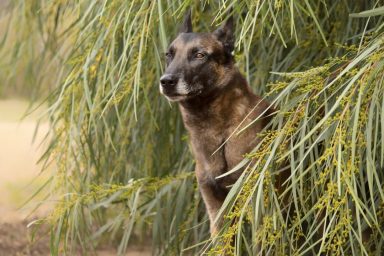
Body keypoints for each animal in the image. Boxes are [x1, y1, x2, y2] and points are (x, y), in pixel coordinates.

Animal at [160, 9, 276, 234]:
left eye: (199, 55)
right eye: (169, 54)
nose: (166, 81)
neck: (219, 130)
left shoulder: (258, 206)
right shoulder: (216, 209)